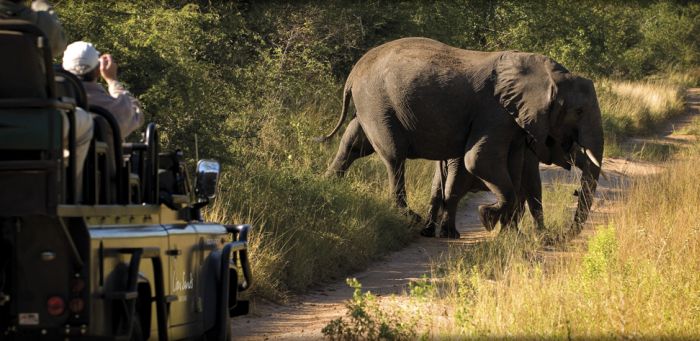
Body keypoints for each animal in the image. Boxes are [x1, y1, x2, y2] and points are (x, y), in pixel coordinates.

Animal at [318, 37, 600, 234]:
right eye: (578, 111)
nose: (562, 235)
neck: (547, 73)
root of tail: (353, 73)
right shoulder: (495, 112)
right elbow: (479, 161)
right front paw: (488, 217)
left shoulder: (514, 123)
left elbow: (514, 167)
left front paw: (509, 233)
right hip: (377, 103)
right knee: (394, 155)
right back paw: (412, 218)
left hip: (370, 106)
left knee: (353, 143)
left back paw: (327, 186)